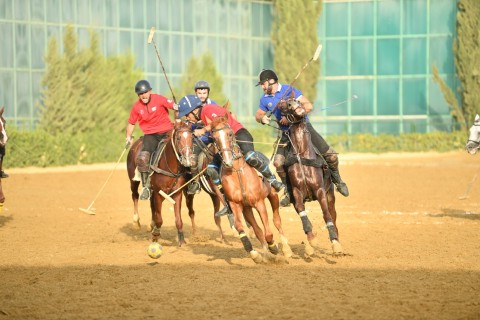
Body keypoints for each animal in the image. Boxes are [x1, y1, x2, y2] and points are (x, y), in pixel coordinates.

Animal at [210, 114, 292, 262]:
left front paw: (273, 247)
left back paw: (286, 249)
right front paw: (255, 253)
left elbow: (268, 232)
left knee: (276, 221)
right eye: (214, 138)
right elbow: (240, 227)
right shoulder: (235, 205)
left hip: (272, 195)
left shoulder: (259, 203)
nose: (227, 161)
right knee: (257, 229)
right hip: (247, 208)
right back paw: (264, 253)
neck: (237, 172)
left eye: (230, 134)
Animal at [276, 97, 344, 255]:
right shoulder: (297, 192)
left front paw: (335, 243)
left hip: (330, 194)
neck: (302, 154)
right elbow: (302, 213)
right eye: (283, 105)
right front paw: (311, 240)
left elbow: (326, 215)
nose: (293, 104)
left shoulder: (320, 191)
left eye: (298, 101)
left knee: (333, 215)